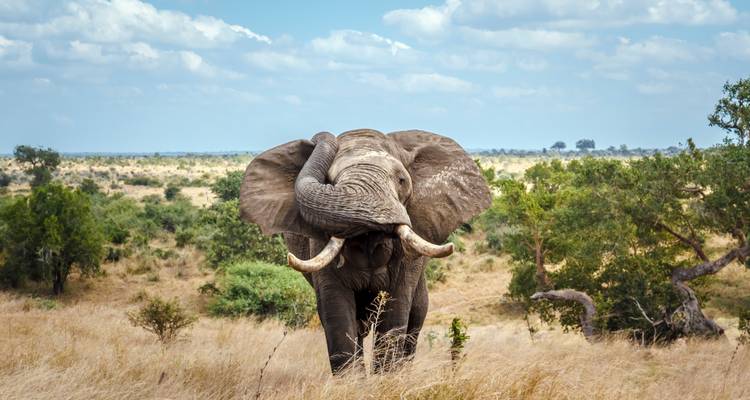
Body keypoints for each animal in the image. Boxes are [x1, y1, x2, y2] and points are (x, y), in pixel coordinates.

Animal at [239, 129, 491, 373]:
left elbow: (395, 312)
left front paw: (387, 380)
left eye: (401, 180)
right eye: (330, 180)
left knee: (416, 316)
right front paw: (352, 382)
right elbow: (337, 314)